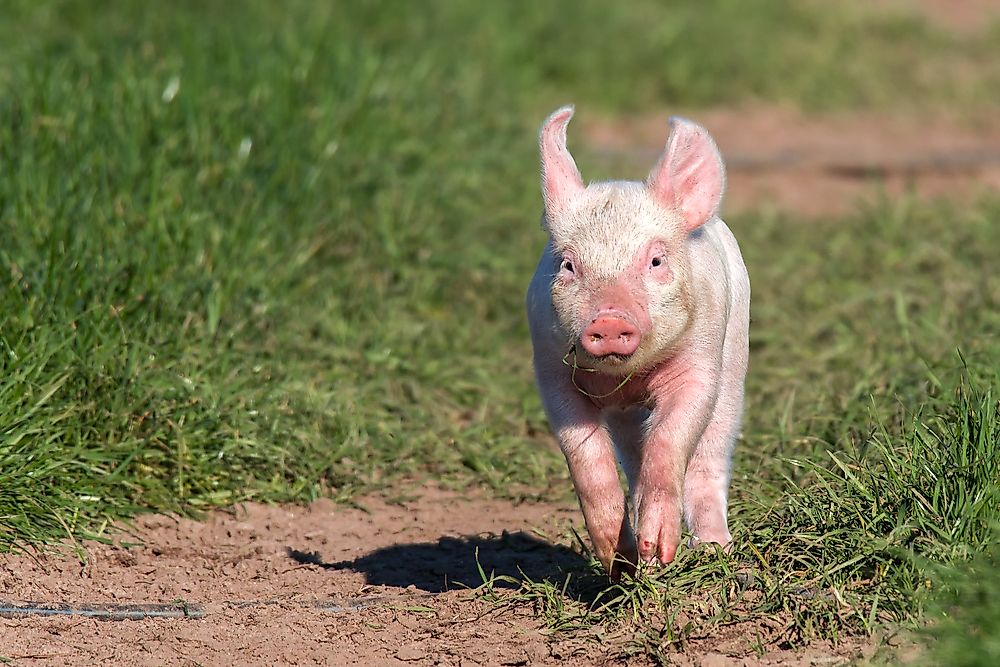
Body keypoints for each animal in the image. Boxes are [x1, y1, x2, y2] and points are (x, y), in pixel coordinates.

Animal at [528, 105, 748, 580]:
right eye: (568, 265)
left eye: (656, 260)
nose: (609, 318)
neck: (626, 377)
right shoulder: (552, 373)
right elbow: (588, 461)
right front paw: (618, 561)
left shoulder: (699, 362)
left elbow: (670, 440)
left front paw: (659, 552)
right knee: (632, 457)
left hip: (735, 358)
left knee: (710, 454)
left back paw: (715, 549)